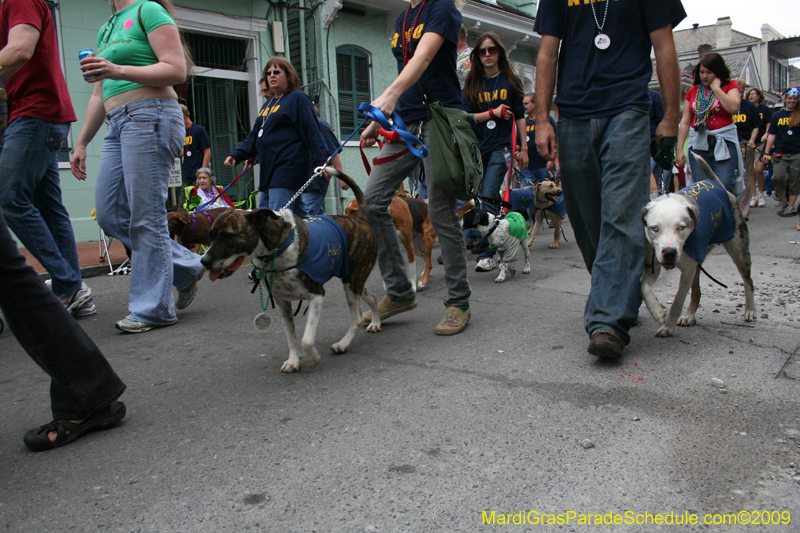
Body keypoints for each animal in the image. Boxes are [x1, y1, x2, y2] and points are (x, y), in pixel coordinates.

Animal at [200, 168, 382, 372]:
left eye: (228, 236)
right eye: (210, 236)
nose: (204, 261)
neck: (278, 249)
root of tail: (359, 219)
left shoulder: (316, 295)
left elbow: (306, 339)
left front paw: (312, 358)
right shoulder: (282, 302)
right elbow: (291, 337)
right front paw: (294, 360)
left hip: (352, 281)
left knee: (357, 318)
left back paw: (343, 344)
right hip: (353, 279)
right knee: (372, 298)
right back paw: (375, 322)